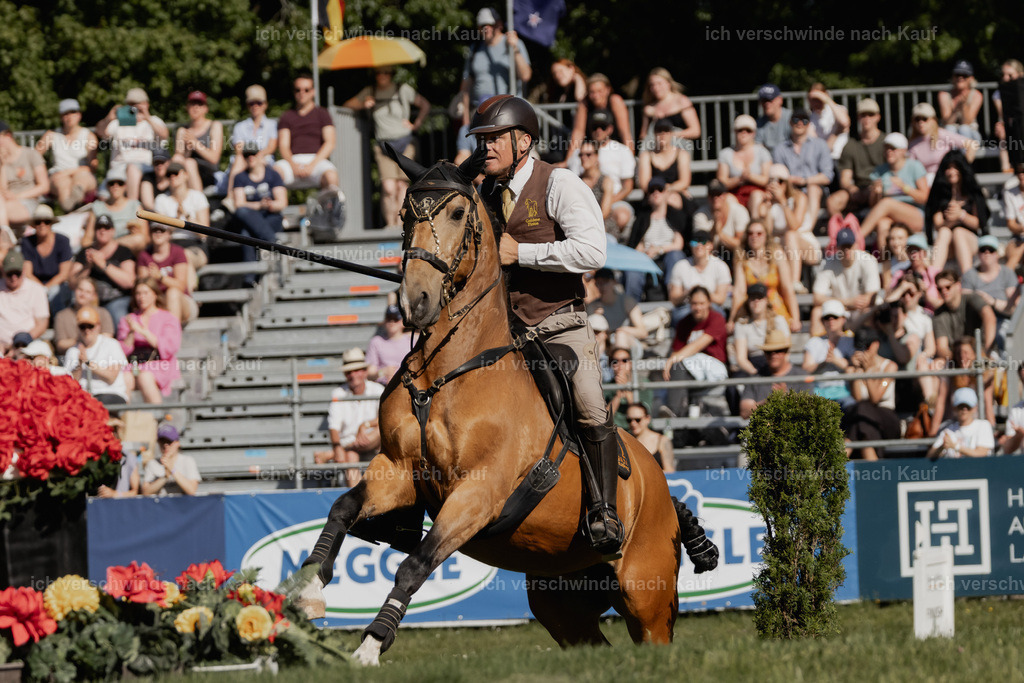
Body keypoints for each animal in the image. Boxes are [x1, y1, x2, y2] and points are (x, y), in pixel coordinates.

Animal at [297, 148, 717, 665]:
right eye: (403, 216)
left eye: (458, 213)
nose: (416, 301)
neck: (445, 373)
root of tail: (660, 485)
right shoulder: (397, 470)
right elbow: (341, 508)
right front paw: (306, 591)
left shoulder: (479, 490)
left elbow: (415, 564)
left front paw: (371, 646)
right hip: (560, 597)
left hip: (646, 594)